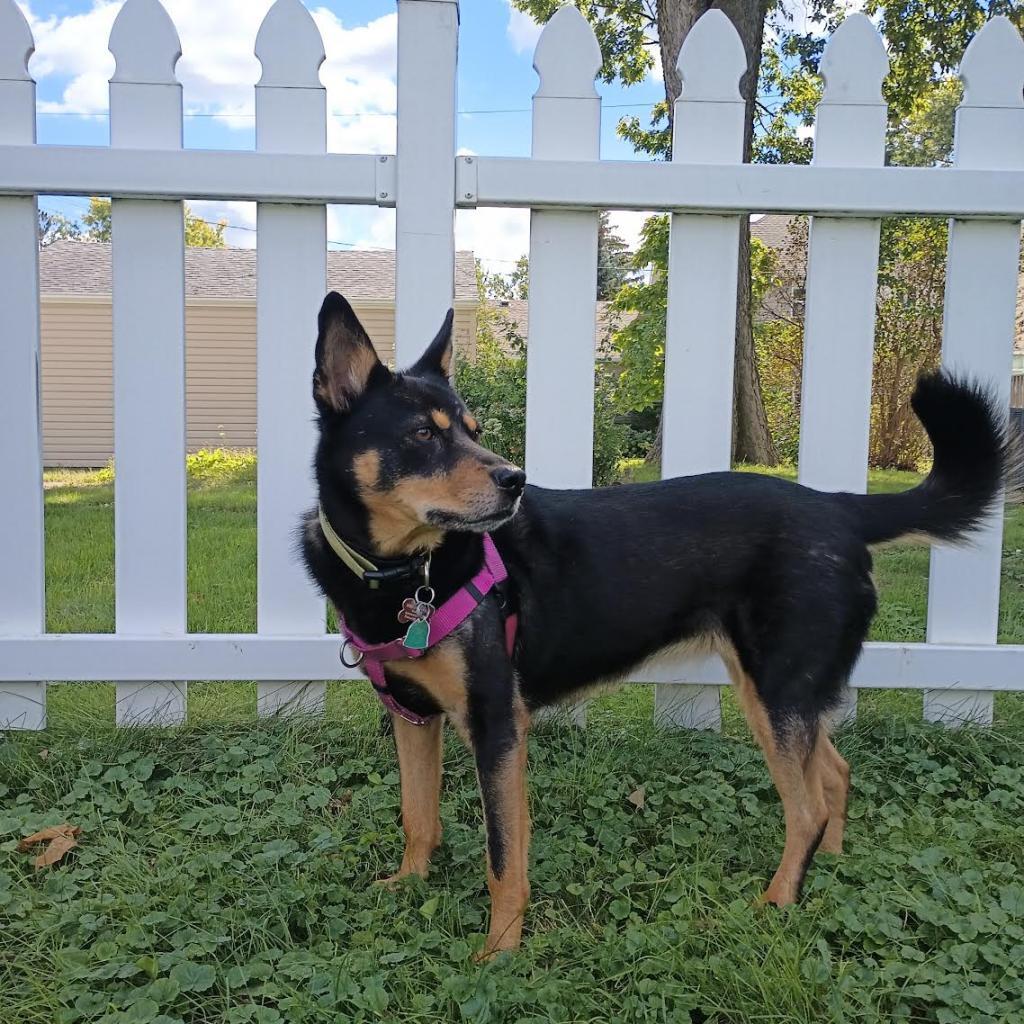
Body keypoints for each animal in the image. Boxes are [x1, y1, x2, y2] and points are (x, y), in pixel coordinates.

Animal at [299, 290, 1011, 958]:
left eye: (473, 429)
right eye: (423, 434)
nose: (516, 480)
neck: (404, 572)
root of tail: (840, 508)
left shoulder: (497, 724)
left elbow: (504, 856)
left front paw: (499, 950)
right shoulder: (414, 717)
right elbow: (418, 816)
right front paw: (407, 884)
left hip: (778, 689)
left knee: (806, 804)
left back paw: (776, 903)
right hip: (775, 690)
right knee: (833, 775)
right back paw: (827, 872)